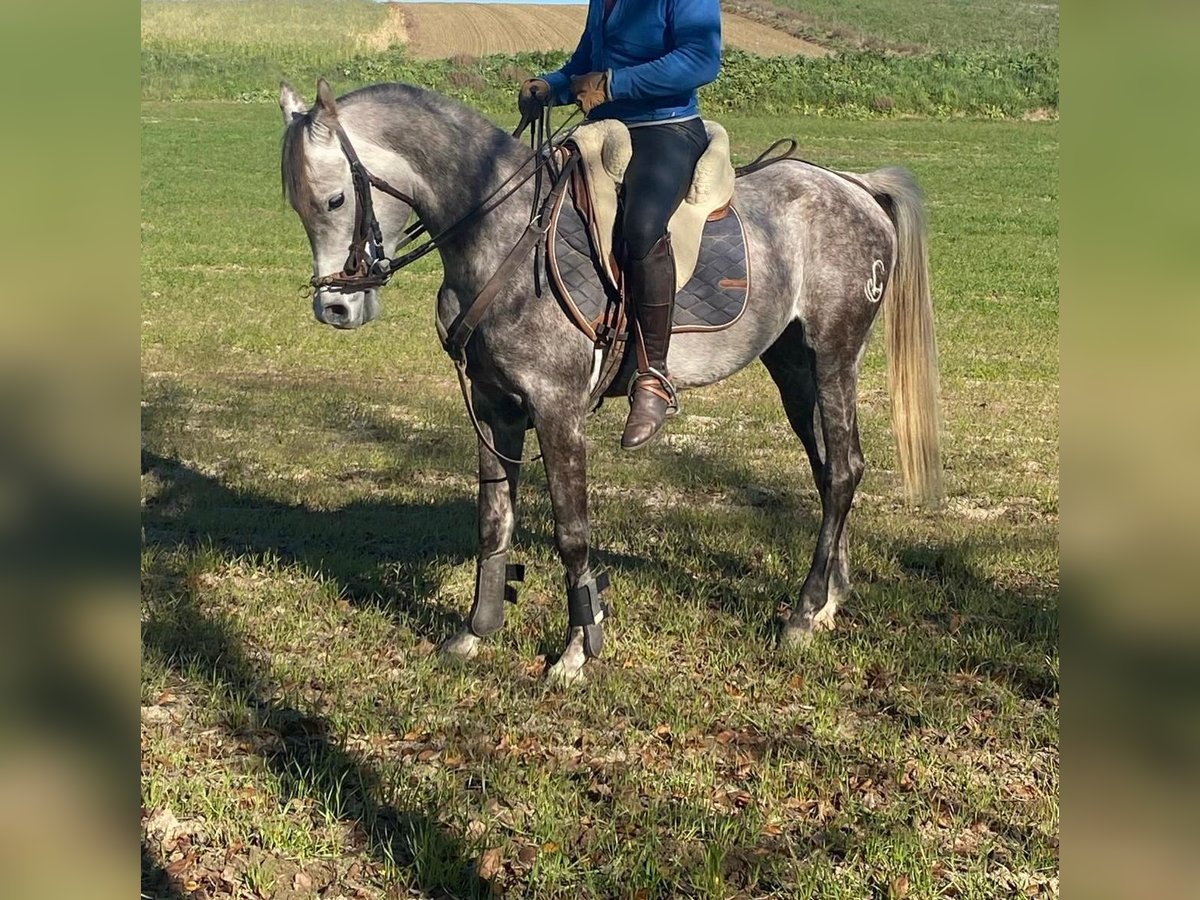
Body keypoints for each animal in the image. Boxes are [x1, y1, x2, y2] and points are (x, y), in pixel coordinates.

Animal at [276, 79, 940, 681]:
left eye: (335, 200)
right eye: (298, 205)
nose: (335, 309)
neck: (502, 233)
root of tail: (854, 186)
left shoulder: (557, 409)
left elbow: (572, 532)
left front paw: (577, 650)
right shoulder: (493, 407)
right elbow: (494, 520)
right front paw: (476, 632)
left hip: (834, 357)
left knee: (846, 469)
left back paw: (802, 614)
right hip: (793, 366)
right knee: (830, 472)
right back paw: (829, 599)